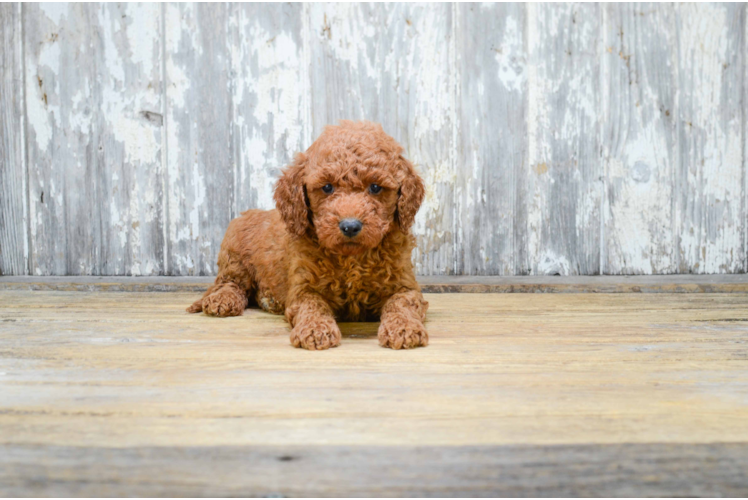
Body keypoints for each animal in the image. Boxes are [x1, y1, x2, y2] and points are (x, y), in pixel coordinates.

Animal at [187, 119, 430, 350]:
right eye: (327, 187)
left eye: (376, 187)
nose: (350, 226)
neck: (352, 259)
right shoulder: (303, 287)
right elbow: (313, 304)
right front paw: (315, 330)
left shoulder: (405, 285)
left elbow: (401, 303)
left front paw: (404, 328)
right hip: (233, 254)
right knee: (229, 283)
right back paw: (222, 299)